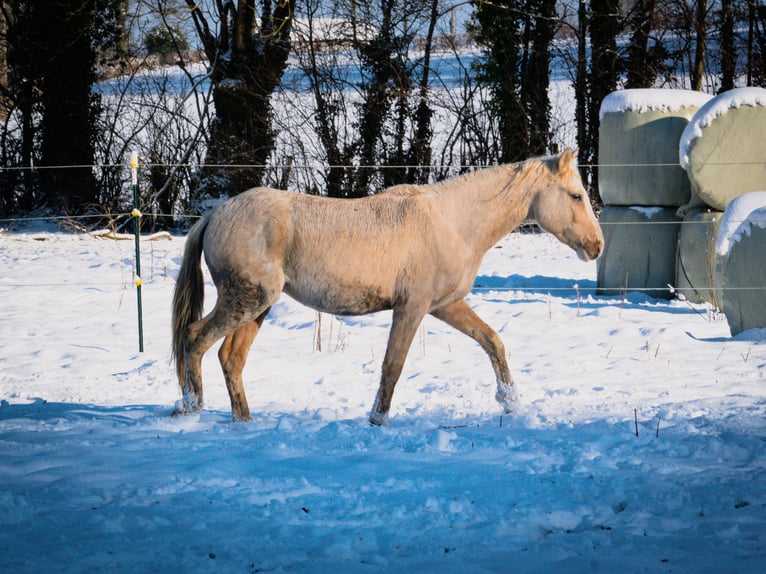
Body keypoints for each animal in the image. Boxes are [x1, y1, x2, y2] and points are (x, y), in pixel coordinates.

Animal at [172, 148, 608, 428]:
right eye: (576, 195)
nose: (597, 246)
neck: (453, 222)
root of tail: (215, 214)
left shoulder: (446, 305)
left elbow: (492, 342)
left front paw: (511, 404)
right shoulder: (411, 308)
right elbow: (393, 366)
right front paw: (377, 420)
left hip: (257, 306)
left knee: (230, 358)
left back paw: (244, 421)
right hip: (246, 300)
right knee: (194, 339)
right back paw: (192, 408)